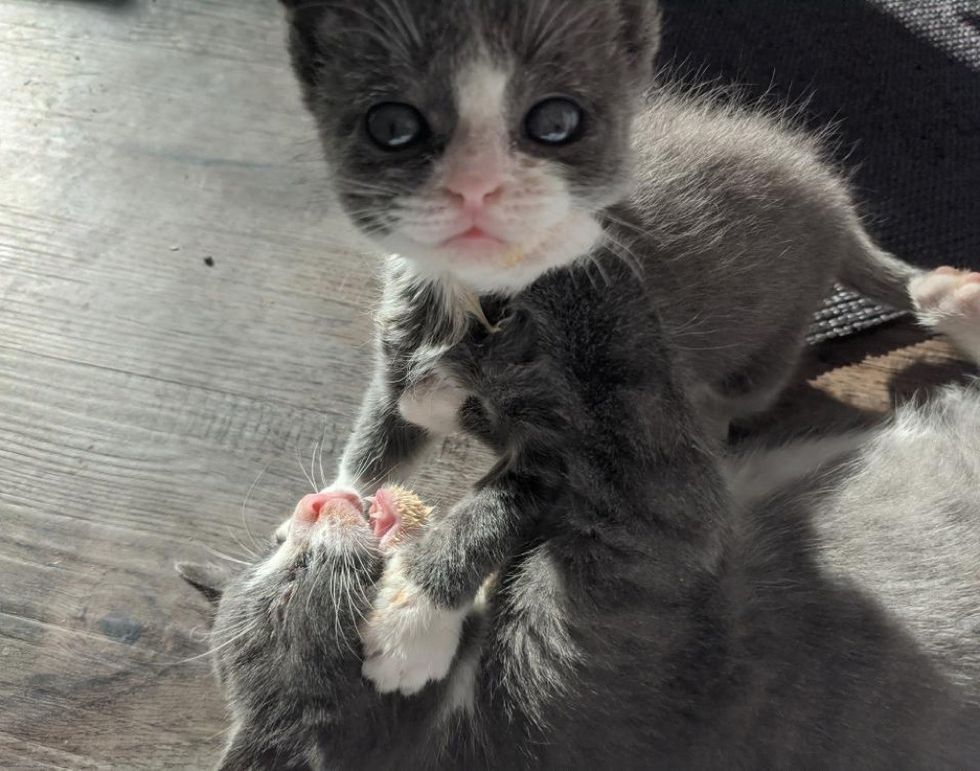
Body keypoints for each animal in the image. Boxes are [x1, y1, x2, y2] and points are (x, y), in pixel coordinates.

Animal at [276, 0, 936, 692]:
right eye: (395, 127)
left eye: (554, 124)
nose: (477, 186)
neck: (478, 309)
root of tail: (834, 200)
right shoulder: (401, 371)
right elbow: (375, 447)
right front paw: (328, 516)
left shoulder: (574, 441)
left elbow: (486, 515)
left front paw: (415, 625)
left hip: (760, 354)